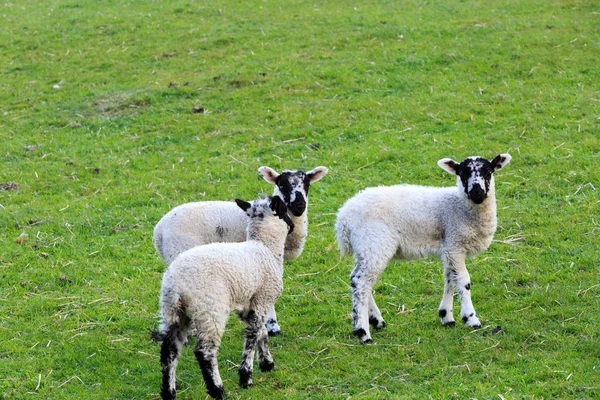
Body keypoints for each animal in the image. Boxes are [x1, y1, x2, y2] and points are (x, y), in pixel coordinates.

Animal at [156, 195, 294, 398]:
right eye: (283, 210)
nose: (292, 225)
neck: (264, 246)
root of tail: (175, 284)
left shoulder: (250, 302)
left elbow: (261, 332)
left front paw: (266, 363)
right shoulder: (264, 297)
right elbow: (253, 336)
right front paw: (246, 376)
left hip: (174, 313)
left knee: (169, 350)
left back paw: (169, 391)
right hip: (209, 310)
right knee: (205, 352)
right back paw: (217, 389)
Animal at [332, 153, 510, 344]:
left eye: (488, 172)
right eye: (463, 173)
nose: (477, 192)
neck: (459, 207)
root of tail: (343, 218)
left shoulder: (449, 246)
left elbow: (450, 278)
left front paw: (446, 316)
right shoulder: (455, 244)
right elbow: (463, 281)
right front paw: (471, 319)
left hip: (365, 248)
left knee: (355, 279)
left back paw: (376, 320)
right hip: (375, 244)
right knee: (362, 283)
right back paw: (363, 332)